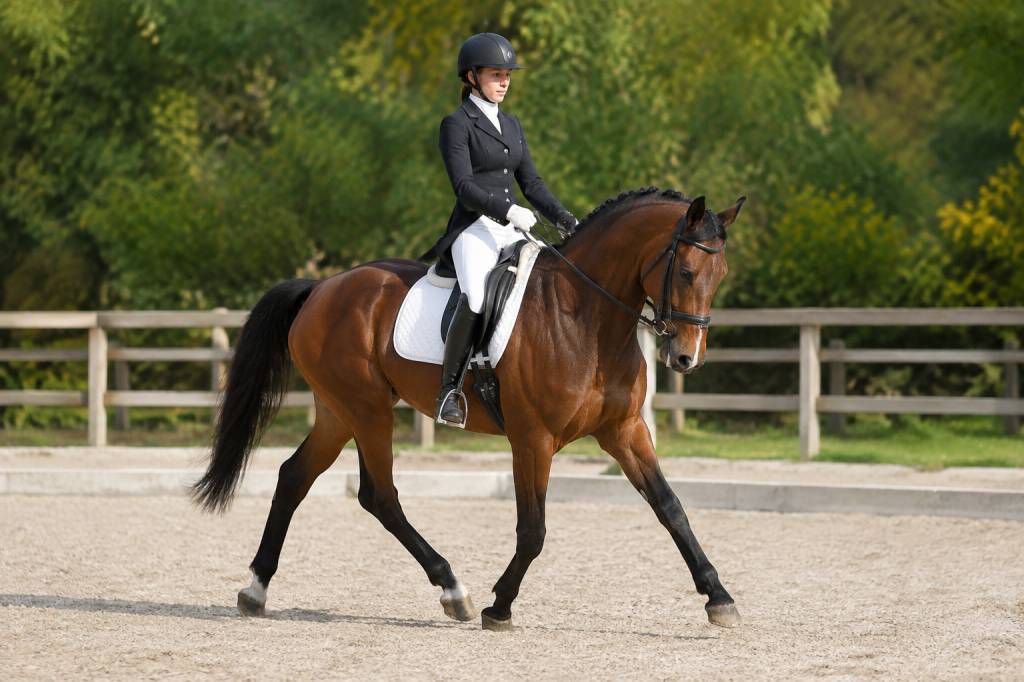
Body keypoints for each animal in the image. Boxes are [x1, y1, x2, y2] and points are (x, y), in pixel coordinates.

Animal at [192, 187, 746, 631]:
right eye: (688, 271)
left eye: (720, 275)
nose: (686, 358)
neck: (585, 318)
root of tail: (321, 287)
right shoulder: (533, 440)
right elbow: (533, 530)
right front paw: (499, 607)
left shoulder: (625, 430)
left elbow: (671, 508)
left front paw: (719, 598)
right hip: (366, 410)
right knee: (380, 495)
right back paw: (453, 589)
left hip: (338, 411)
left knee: (295, 477)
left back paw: (255, 589)